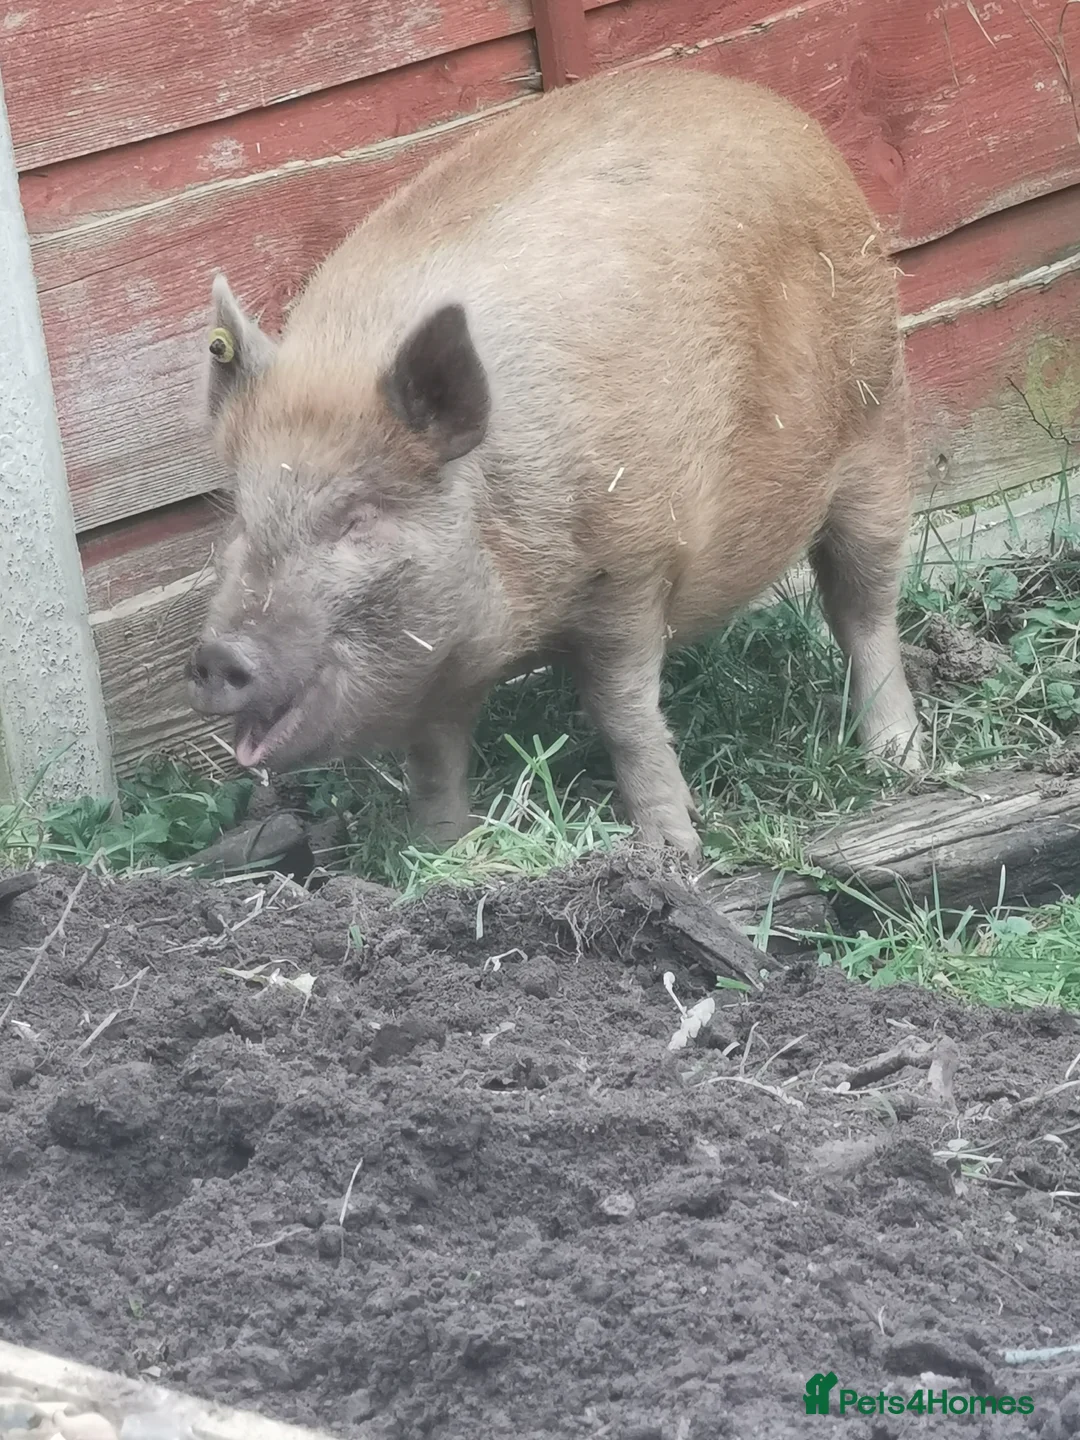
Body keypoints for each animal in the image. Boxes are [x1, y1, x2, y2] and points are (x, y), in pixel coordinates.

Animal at [187, 63, 923, 863]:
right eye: (238, 516)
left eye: (357, 518)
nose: (216, 655)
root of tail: (785, 115)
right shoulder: (436, 667)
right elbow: (433, 757)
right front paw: (439, 854)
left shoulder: (633, 563)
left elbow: (623, 713)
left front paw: (673, 851)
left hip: (879, 426)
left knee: (864, 606)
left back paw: (900, 761)